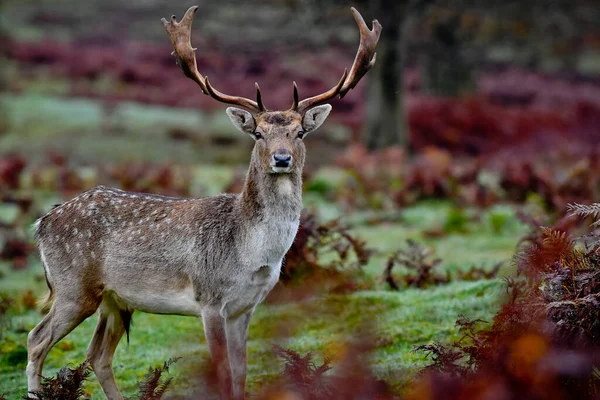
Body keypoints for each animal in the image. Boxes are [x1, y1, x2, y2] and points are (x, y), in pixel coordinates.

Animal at [27, 3, 380, 400]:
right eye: (259, 134)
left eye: (300, 132)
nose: (282, 158)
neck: (251, 252)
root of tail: (42, 222)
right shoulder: (209, 299)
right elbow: (222, 374)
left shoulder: (246, 308)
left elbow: (241, 374)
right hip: (73, 286)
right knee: (36, 340)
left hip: (116, 300)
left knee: (97, 354)